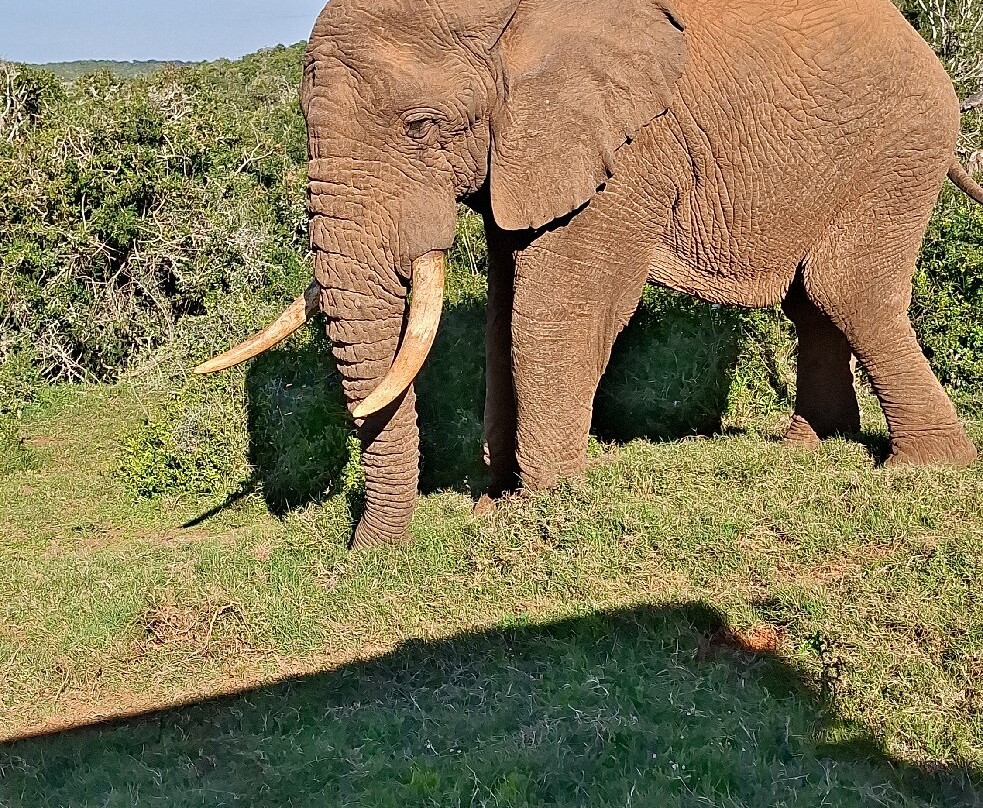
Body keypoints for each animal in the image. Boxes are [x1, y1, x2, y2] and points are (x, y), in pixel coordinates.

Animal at [197, 0, 983, 549]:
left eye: (421, 127)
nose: (372, 556)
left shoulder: (631, 143)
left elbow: (557, 303)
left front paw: (536, 511)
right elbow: (505, 301)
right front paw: (494, 501)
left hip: (899, 145)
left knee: (844, 290)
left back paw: (922, 469)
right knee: (810, 300)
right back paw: (807, 448)